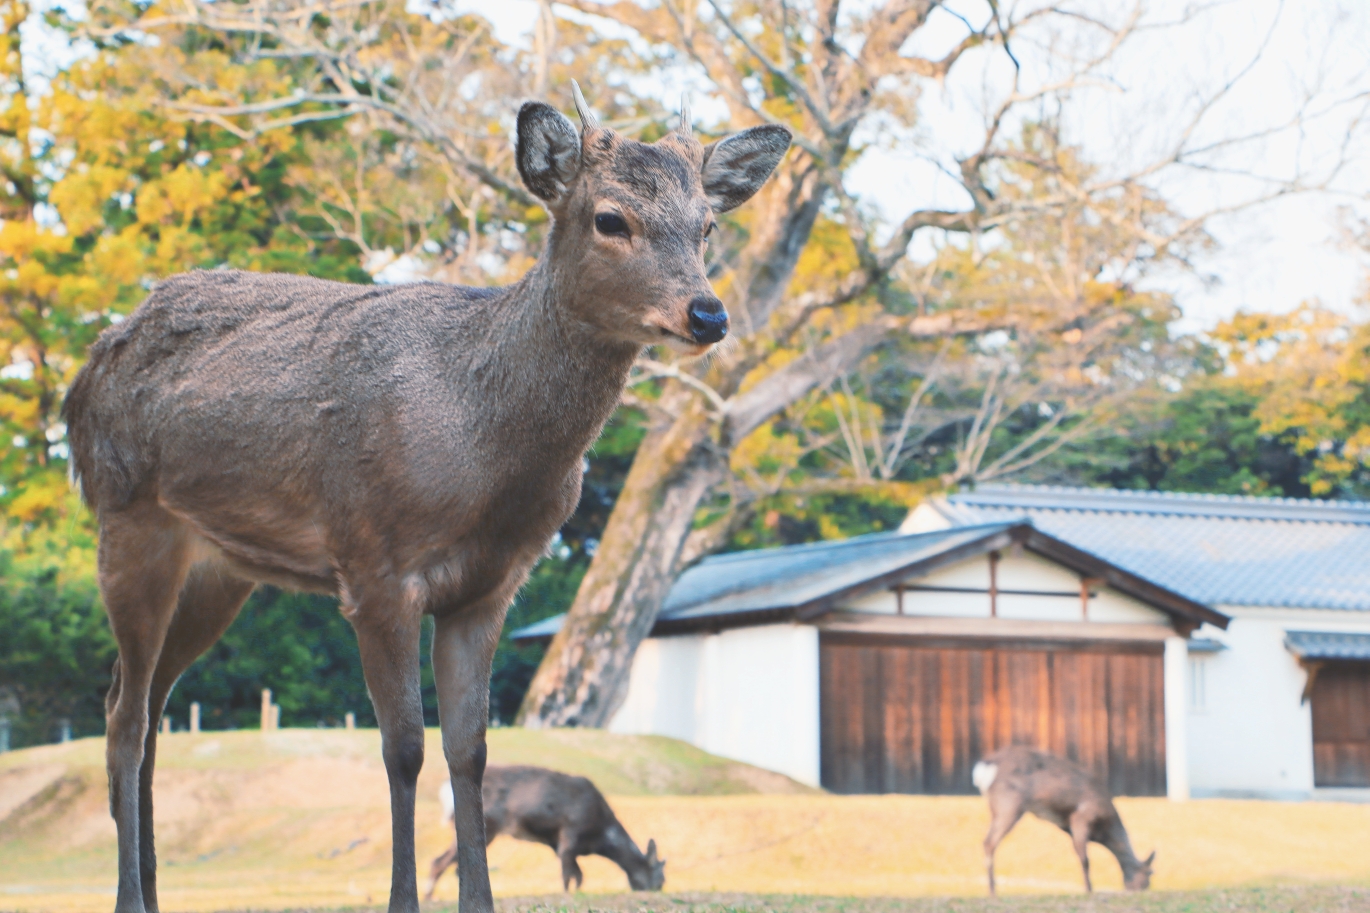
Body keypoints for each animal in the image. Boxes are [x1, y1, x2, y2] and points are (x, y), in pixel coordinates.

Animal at [424, 762, 665, 893]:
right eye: (661, 879)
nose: (657, 889)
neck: (600, 836)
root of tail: (445, 790)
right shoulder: (570, 834)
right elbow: (569, 877)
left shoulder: (561, 845)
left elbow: (578, 876)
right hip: (487, 825)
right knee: (439, 862)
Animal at [975, 745, 1156, 893]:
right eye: (1149, 874)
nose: (1139, 890)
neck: (1104, 828)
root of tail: (984, 767)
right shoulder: (1082, 816)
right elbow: (1085, 858)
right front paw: (1089, 890)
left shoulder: (1066, 825)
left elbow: (1078, 852)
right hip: (1009, 804)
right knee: (989, 842)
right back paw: (992, 891)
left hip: (995, 807)